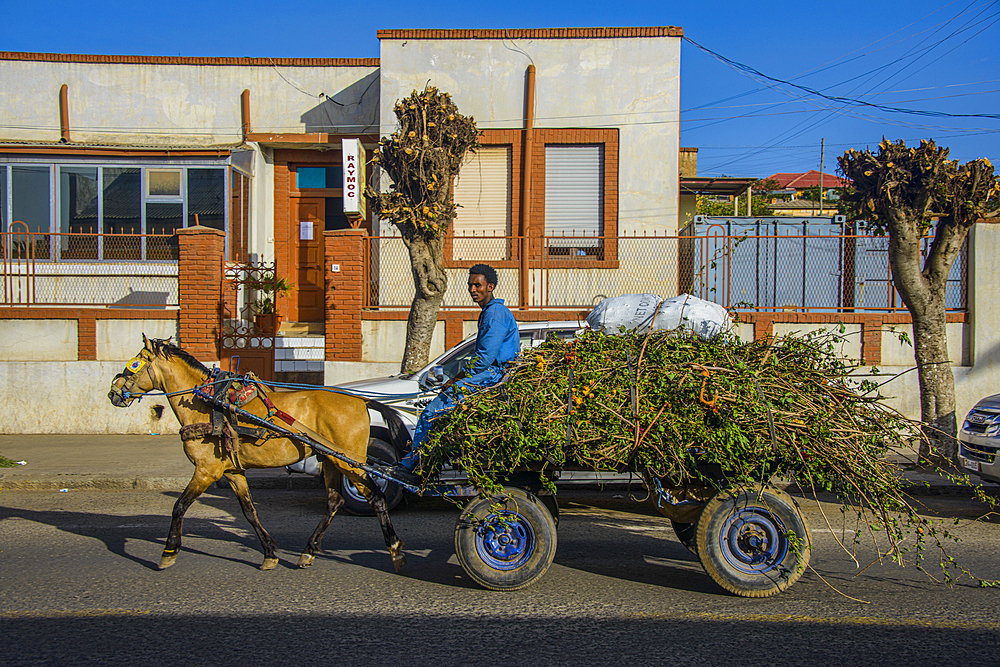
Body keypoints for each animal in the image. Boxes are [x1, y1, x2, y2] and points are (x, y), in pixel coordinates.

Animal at [108, 336, 406, 572]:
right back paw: (308, 551)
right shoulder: (231, 470)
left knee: (376, 497)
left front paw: (169, 551)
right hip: (332, 460)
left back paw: (395, 549)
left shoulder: (206, 470)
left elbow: (179, 506)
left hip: (351, 463)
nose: (113, 393)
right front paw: (269, 553)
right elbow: (249, 511)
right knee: (334, 502)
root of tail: (361, 400)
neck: (208, 402)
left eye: (134, 364)